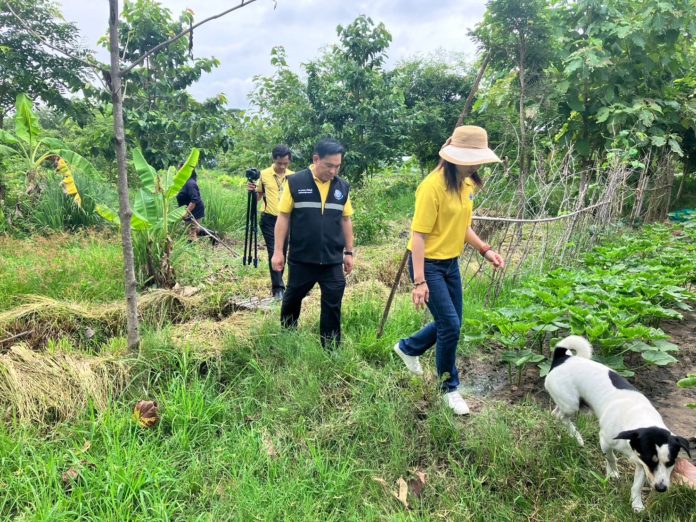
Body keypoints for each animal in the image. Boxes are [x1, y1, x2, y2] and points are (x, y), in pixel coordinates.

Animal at [544, 336, 692, 510]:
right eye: (651, 461)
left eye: (671, 463)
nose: (661, 488)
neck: (639, 418)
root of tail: (562, 357)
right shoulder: (606, 442)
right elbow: (611, 458)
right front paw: (613, 473)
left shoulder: (641, 464)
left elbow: (636, 486)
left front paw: (636, 504)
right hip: (571, 404)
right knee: (561, 416)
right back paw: (577, 437)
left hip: (568, 403)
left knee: (555, 413)